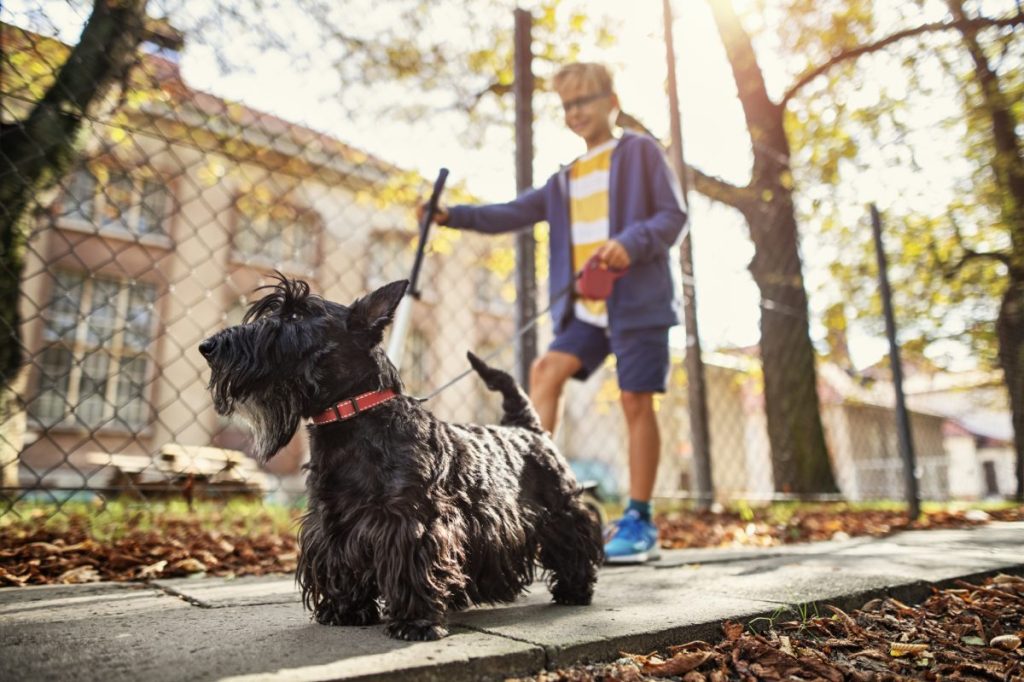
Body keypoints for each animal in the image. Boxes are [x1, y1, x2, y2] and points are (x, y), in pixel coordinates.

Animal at [195, 276, 602, 638]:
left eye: (296, 315)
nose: (208, 346)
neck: (353, 417)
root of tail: (528, 428)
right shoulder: (331, 521)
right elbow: (339, 562)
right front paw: (344, 610)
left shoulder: (412, 520)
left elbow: (413, 566)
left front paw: (415, 622)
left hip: (561, 509)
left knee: (575, 543)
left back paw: (574, 590)